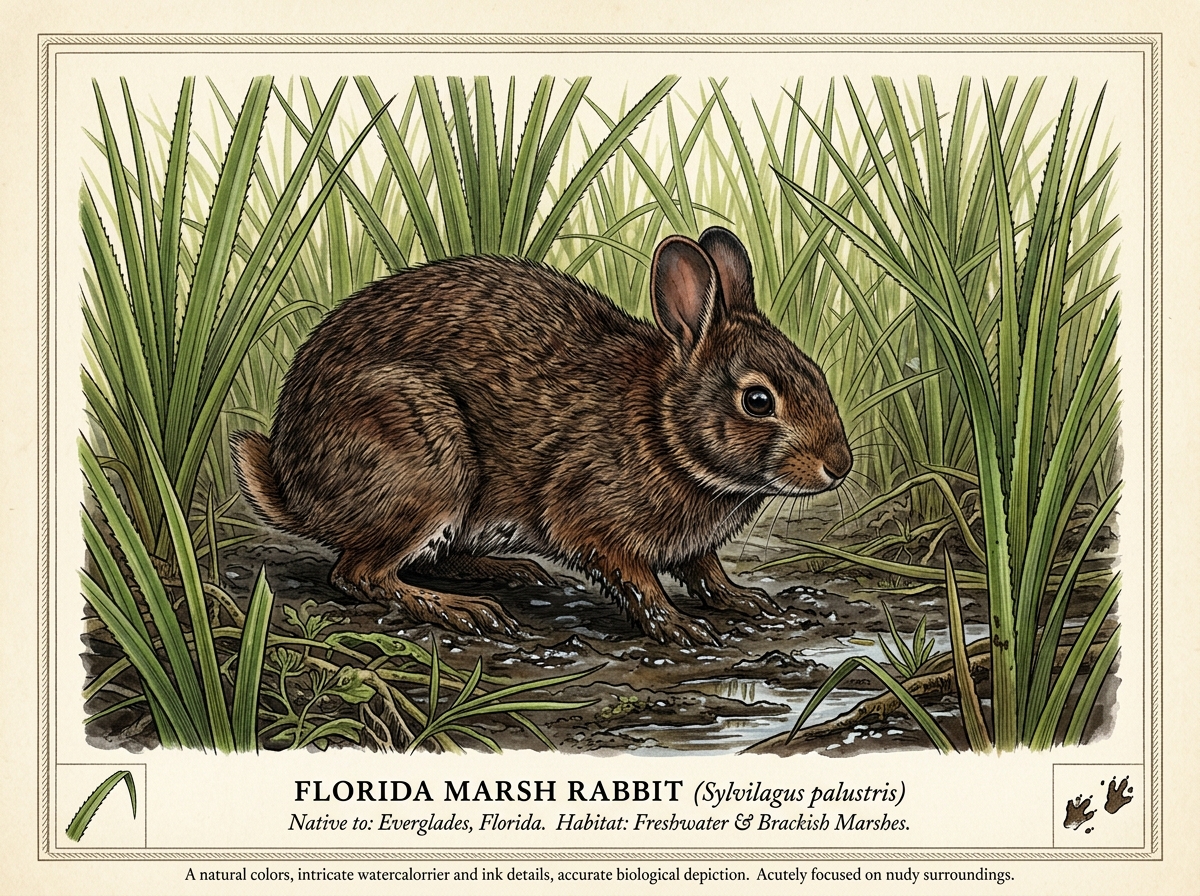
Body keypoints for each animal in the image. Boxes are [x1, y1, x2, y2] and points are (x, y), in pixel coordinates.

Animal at [231, 227, 851, 647]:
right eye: (757, 401)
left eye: (818, 373)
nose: (839, 465)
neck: (664, 428)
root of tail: (292, 486)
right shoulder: (590, 520)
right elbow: (638, 582)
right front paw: (680, 628)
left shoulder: (692, 546)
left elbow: (707, 571)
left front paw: (750, 602)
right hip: (426, 461)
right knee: (359, 572)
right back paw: (467, 612)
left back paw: (508, 571)